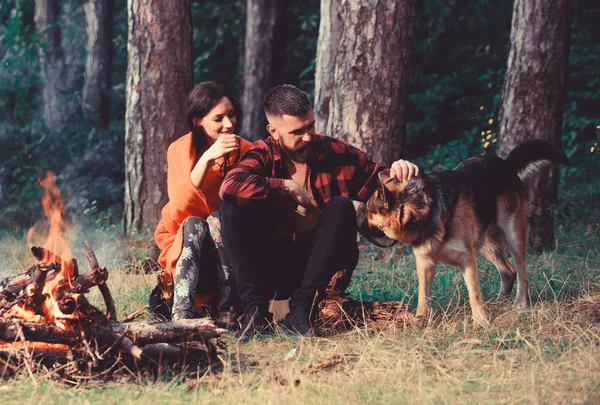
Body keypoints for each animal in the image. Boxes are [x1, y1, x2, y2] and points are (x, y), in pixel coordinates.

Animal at [366, 139, 568, 326]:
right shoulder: (425, 262)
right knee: (508, 270)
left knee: (521, 272)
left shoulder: (467, 258)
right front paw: (420, 320)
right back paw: (500, 300)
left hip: (514, 236)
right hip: (486, 243)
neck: (424, 209)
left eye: (368, 213)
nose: (362, 226)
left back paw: (520, 302)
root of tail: (506, 164)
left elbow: (474, 293)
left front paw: (481, 321)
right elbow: (423, 295)